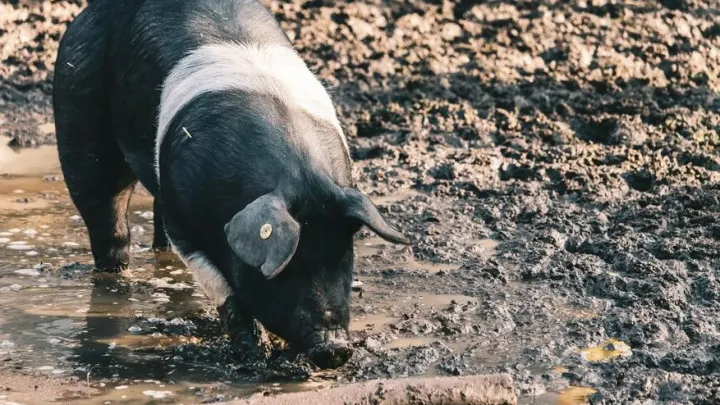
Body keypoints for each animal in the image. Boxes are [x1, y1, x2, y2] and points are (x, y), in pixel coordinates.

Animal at [52, 0, 408, 370]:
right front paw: (256, 351)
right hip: (78, 112)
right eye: (289, 268)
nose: (335, 348)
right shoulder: (184, 219)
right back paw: (113, 279)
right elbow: (220, 284)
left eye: (344, 259)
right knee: (106, 216)